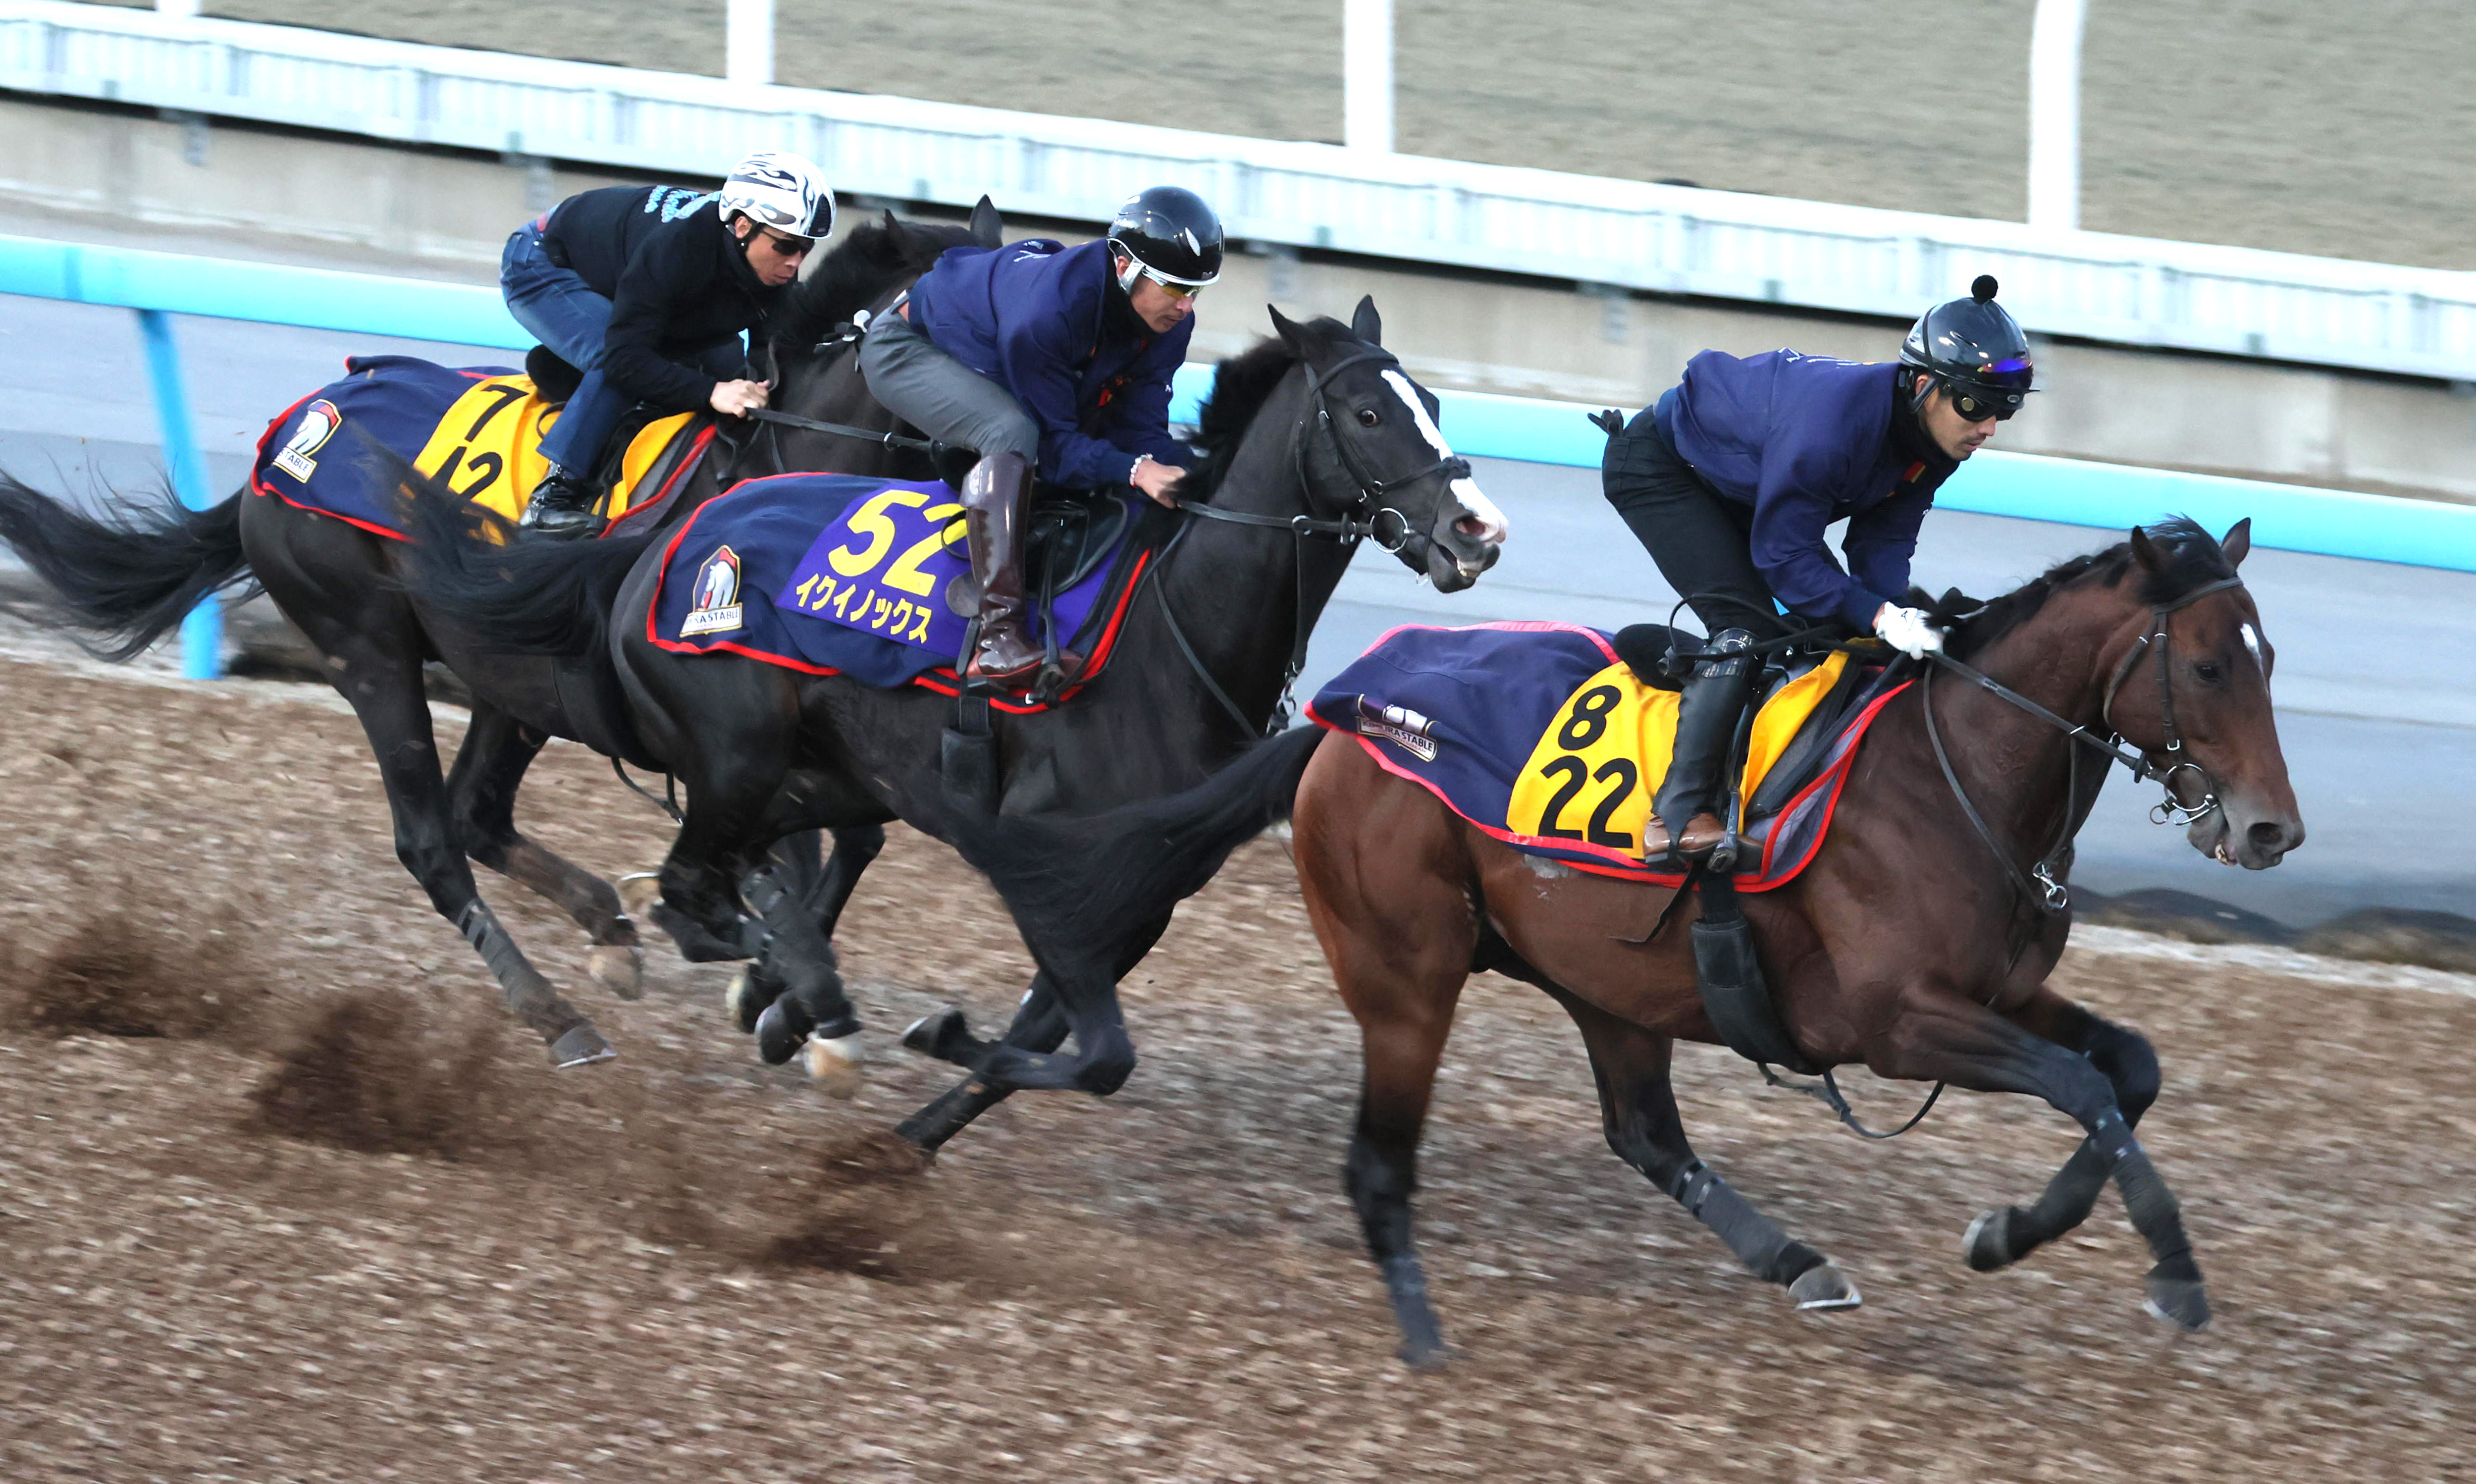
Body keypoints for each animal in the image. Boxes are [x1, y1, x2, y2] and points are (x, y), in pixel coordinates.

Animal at [0, 206, 995, 1070]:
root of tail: (291, 432)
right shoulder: (721, 726)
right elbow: (779, 854)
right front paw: (771, 985)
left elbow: (844, 841)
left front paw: (772, 998)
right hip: (366, 646)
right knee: (432, 840)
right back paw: (559, 1017)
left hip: (509, 681)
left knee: (479, 812)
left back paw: (608, 929)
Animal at [401, 296, 1505, 1144]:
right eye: (1367, 411)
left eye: (1435, 406)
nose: (1478, 531)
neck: (1171, 628)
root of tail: (667, 545)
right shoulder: (1039, 863)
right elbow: (1097, 1052)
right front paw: (910, 1043)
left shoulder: (1140, 889)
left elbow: (1054, 1039)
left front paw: (911, 1129)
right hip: (737, 753)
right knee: (688, 886)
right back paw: (793, 994)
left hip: (814, 773)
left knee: (724, 879)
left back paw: (778, 984)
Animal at [1297, 520, 2298, 1367]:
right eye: (2207, 667)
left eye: (2269, 659)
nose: (2270, 832)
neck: (1958, 775)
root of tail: (1344, 710)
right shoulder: (1898, 1025)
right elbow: (2081, 1085)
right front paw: (2167, 1272)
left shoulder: (2001, 992)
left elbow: (2129, 1070)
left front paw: (2012, 1234)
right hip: (1406, 980)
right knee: (1377, 1162)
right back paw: (1421, 1333)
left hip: (1604, 980)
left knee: (1644, 1134)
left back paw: (1797, 1262)